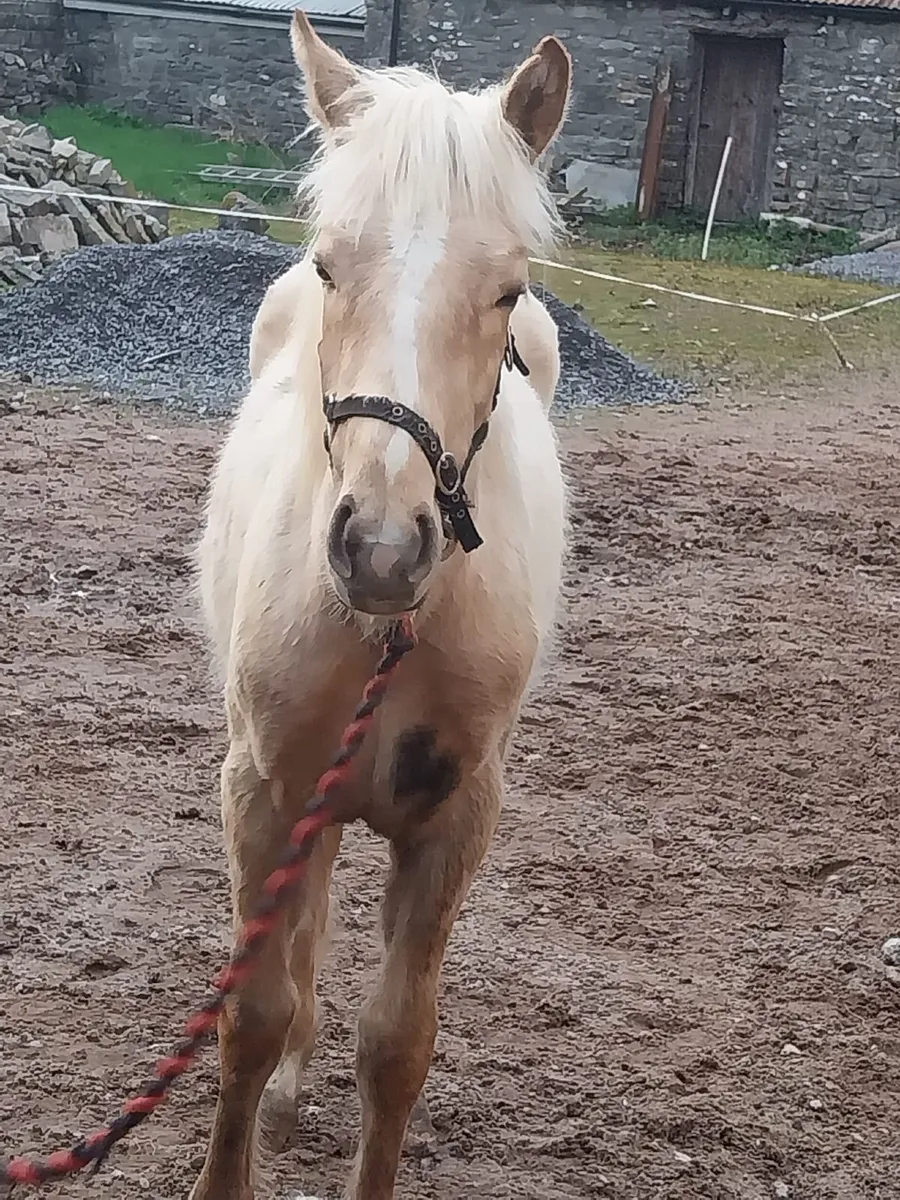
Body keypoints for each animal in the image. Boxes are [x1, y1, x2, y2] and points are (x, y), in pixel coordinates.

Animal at [191, 12, 572, 1199]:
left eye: (506, 291)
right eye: (329, 263)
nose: (382, 548)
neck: (385, 633)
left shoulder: (455, 820)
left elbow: (398, 1044)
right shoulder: (263, 790)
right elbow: (251, 1019)